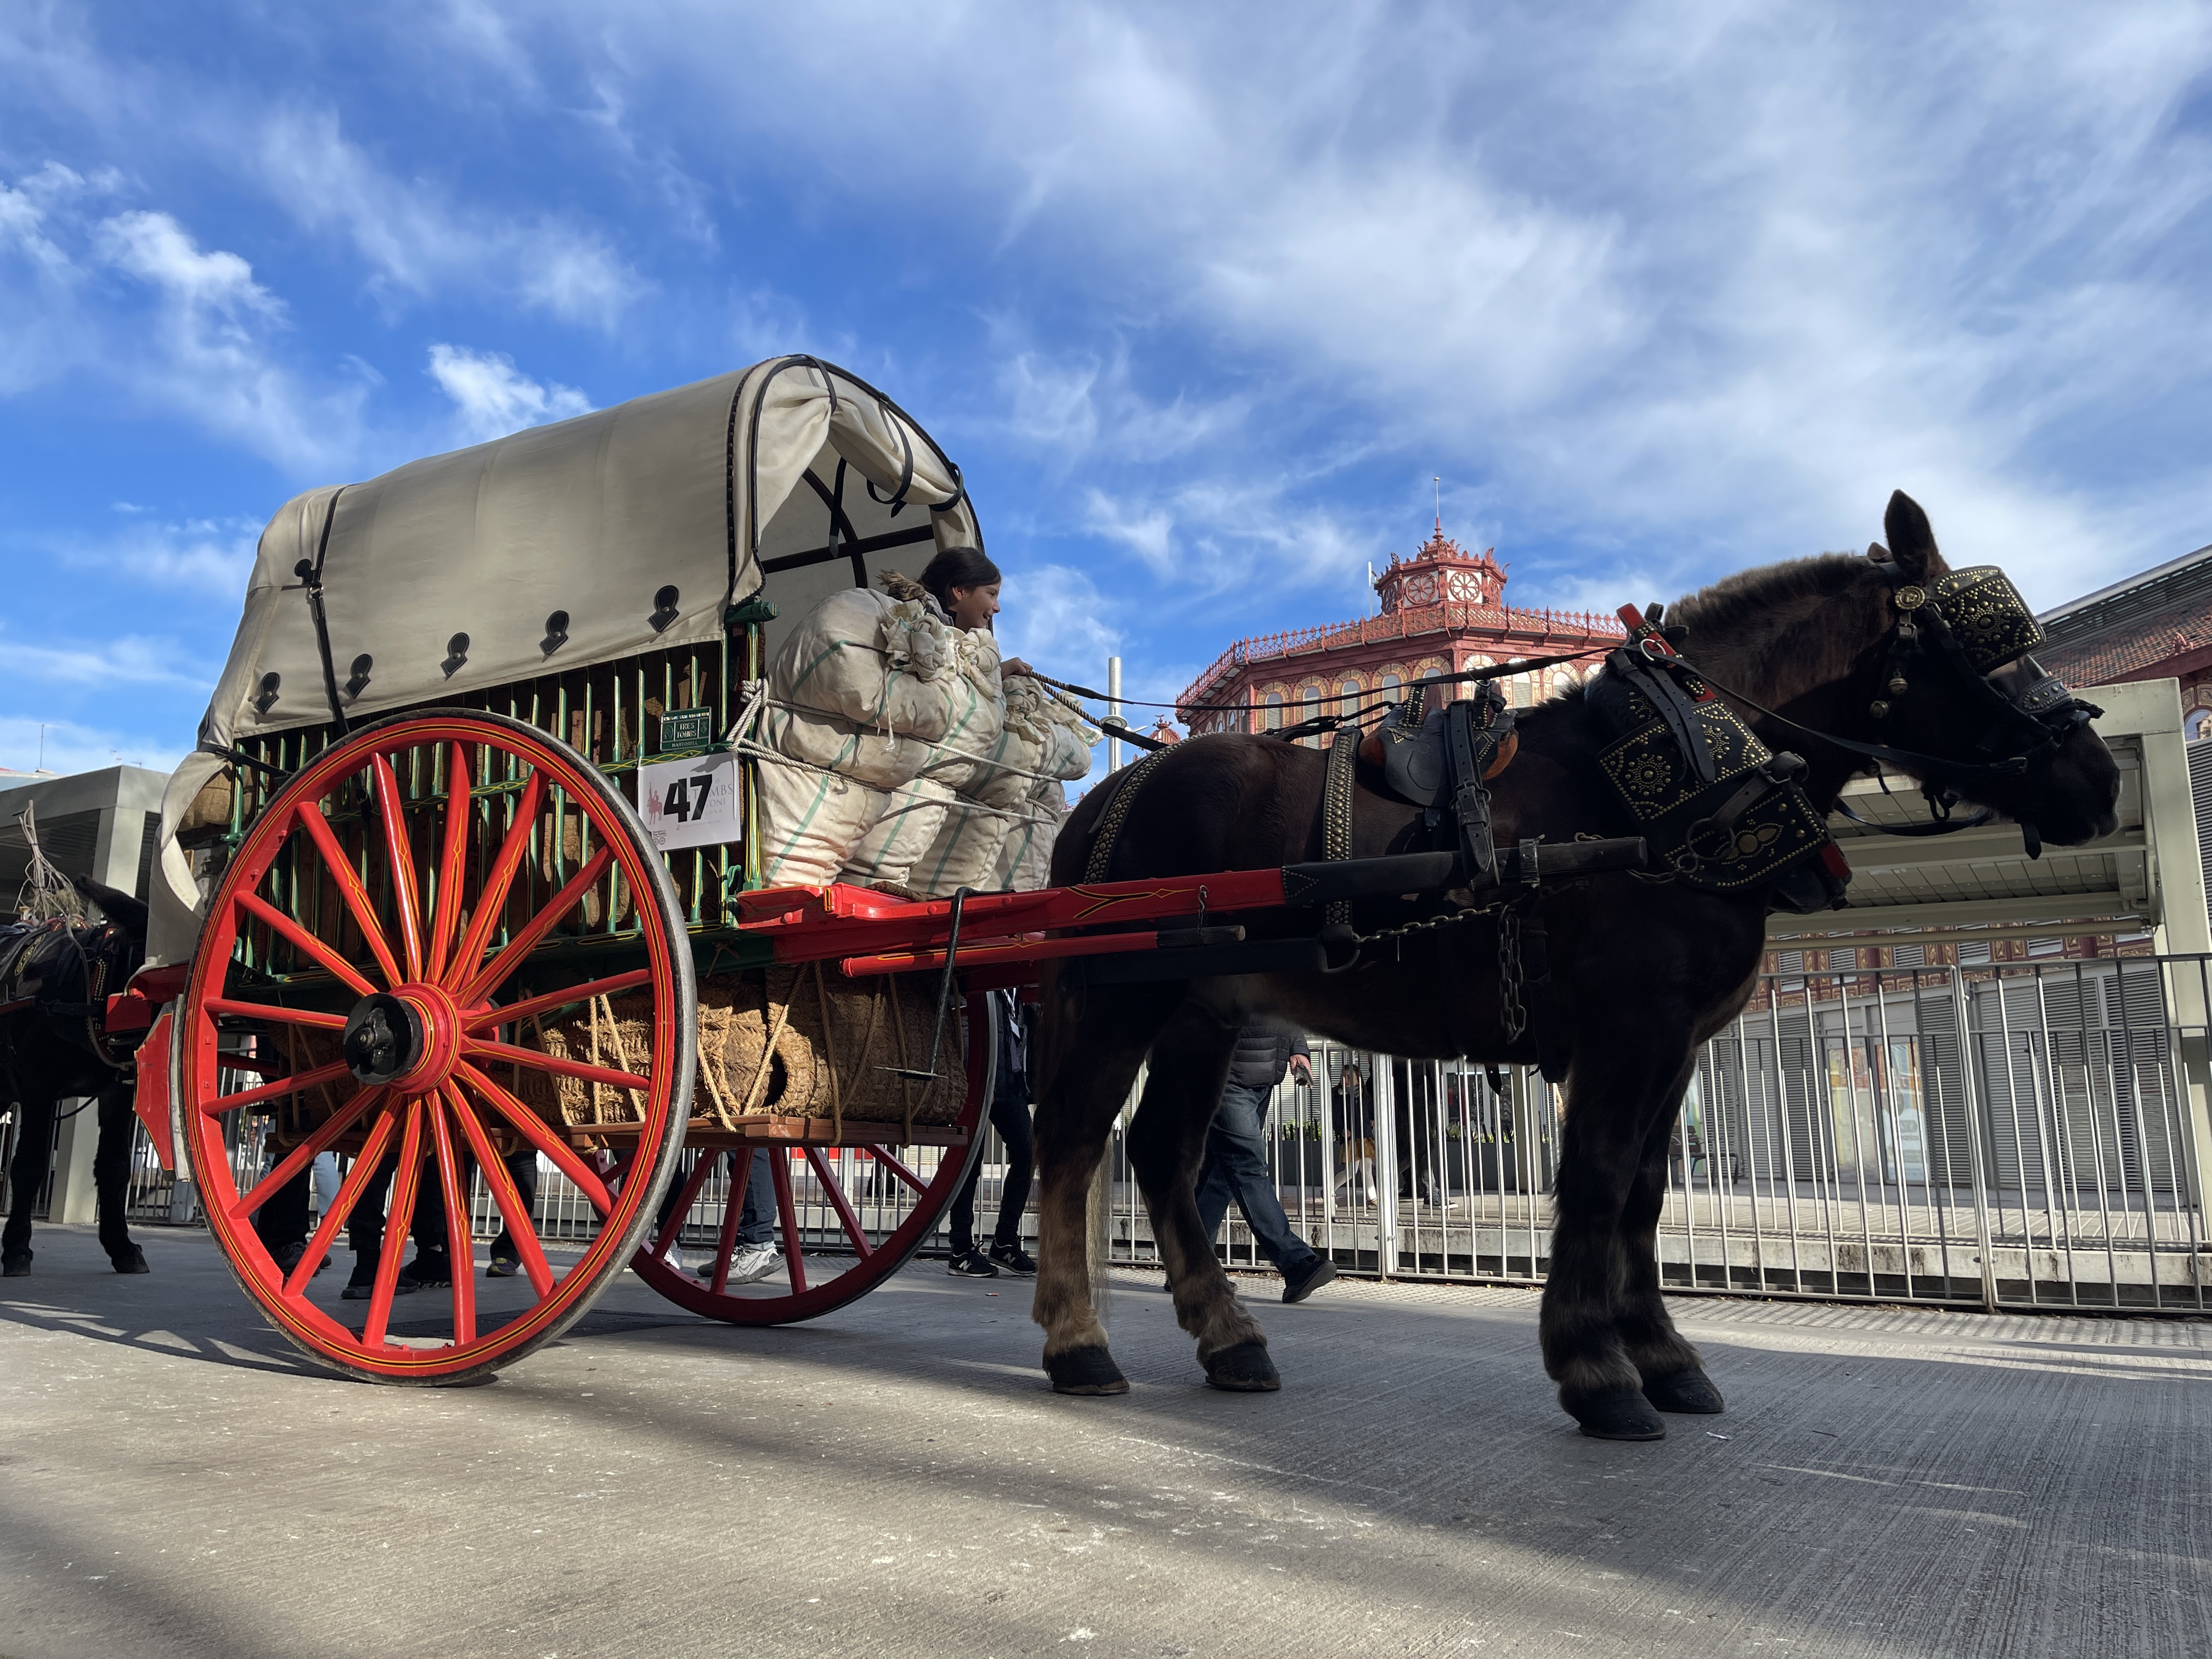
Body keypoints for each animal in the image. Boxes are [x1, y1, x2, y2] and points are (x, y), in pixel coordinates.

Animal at [1026, 493, 2114, 1442]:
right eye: (1976, 648)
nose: (2095, 779)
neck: (1675, 781)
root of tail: (1113, 788)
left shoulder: (1675, 1042)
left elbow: (1644, 1191)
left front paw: (1665, 1357)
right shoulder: (1629, 1025)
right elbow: (1596, 1177)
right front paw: (1599, 1371)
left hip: (1204, 1009)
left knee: (1161, 1148)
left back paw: (1228, 1335)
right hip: (1126, 992)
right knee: (1075, 1135)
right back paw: (1078, 1340)